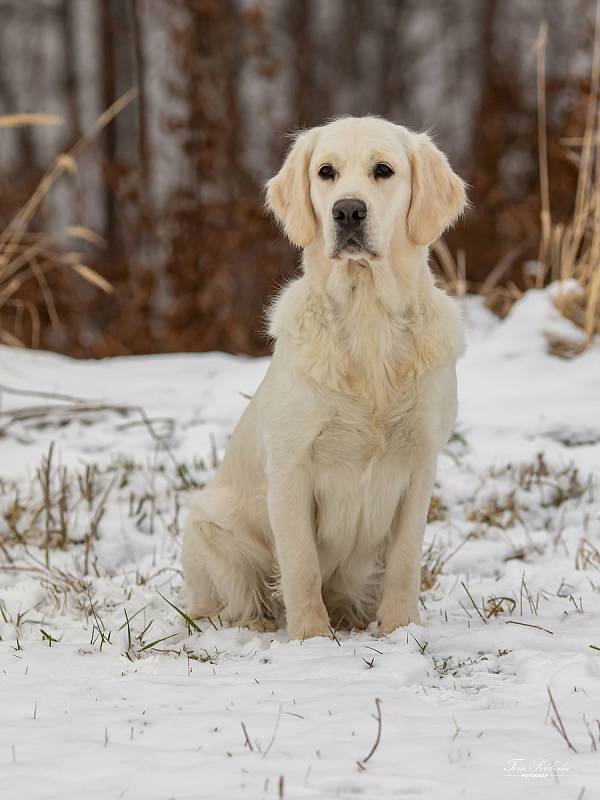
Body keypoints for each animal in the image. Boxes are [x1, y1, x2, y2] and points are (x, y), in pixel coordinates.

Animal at [180, 114, 466, 636]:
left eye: (383, 170)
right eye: (326, 172)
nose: (348, 211)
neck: (367, 313)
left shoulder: (421, 464)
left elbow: (404, 561)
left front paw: (400, 630)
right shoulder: (292, 467)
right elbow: (301, 565)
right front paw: (311, 637)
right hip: (208, 527)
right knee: (228, 603)